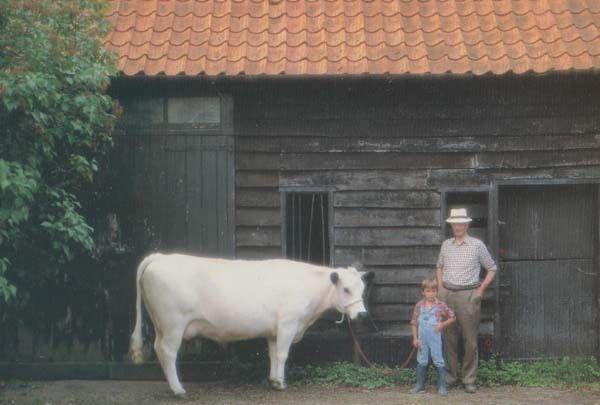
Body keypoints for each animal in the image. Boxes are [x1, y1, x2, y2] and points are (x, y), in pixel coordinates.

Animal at [129, 252, 368, 394]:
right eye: (346, 289)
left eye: (362, 288)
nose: (362, 314)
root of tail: (160, 257)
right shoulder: (288, 324)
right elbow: (283, 354)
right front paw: (281, 383)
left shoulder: (273, 330)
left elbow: (273, 355)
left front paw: (273, 380)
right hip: (173, 324)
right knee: (168, 352)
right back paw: (178, 390)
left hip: (161, 325)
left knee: (158, 349)